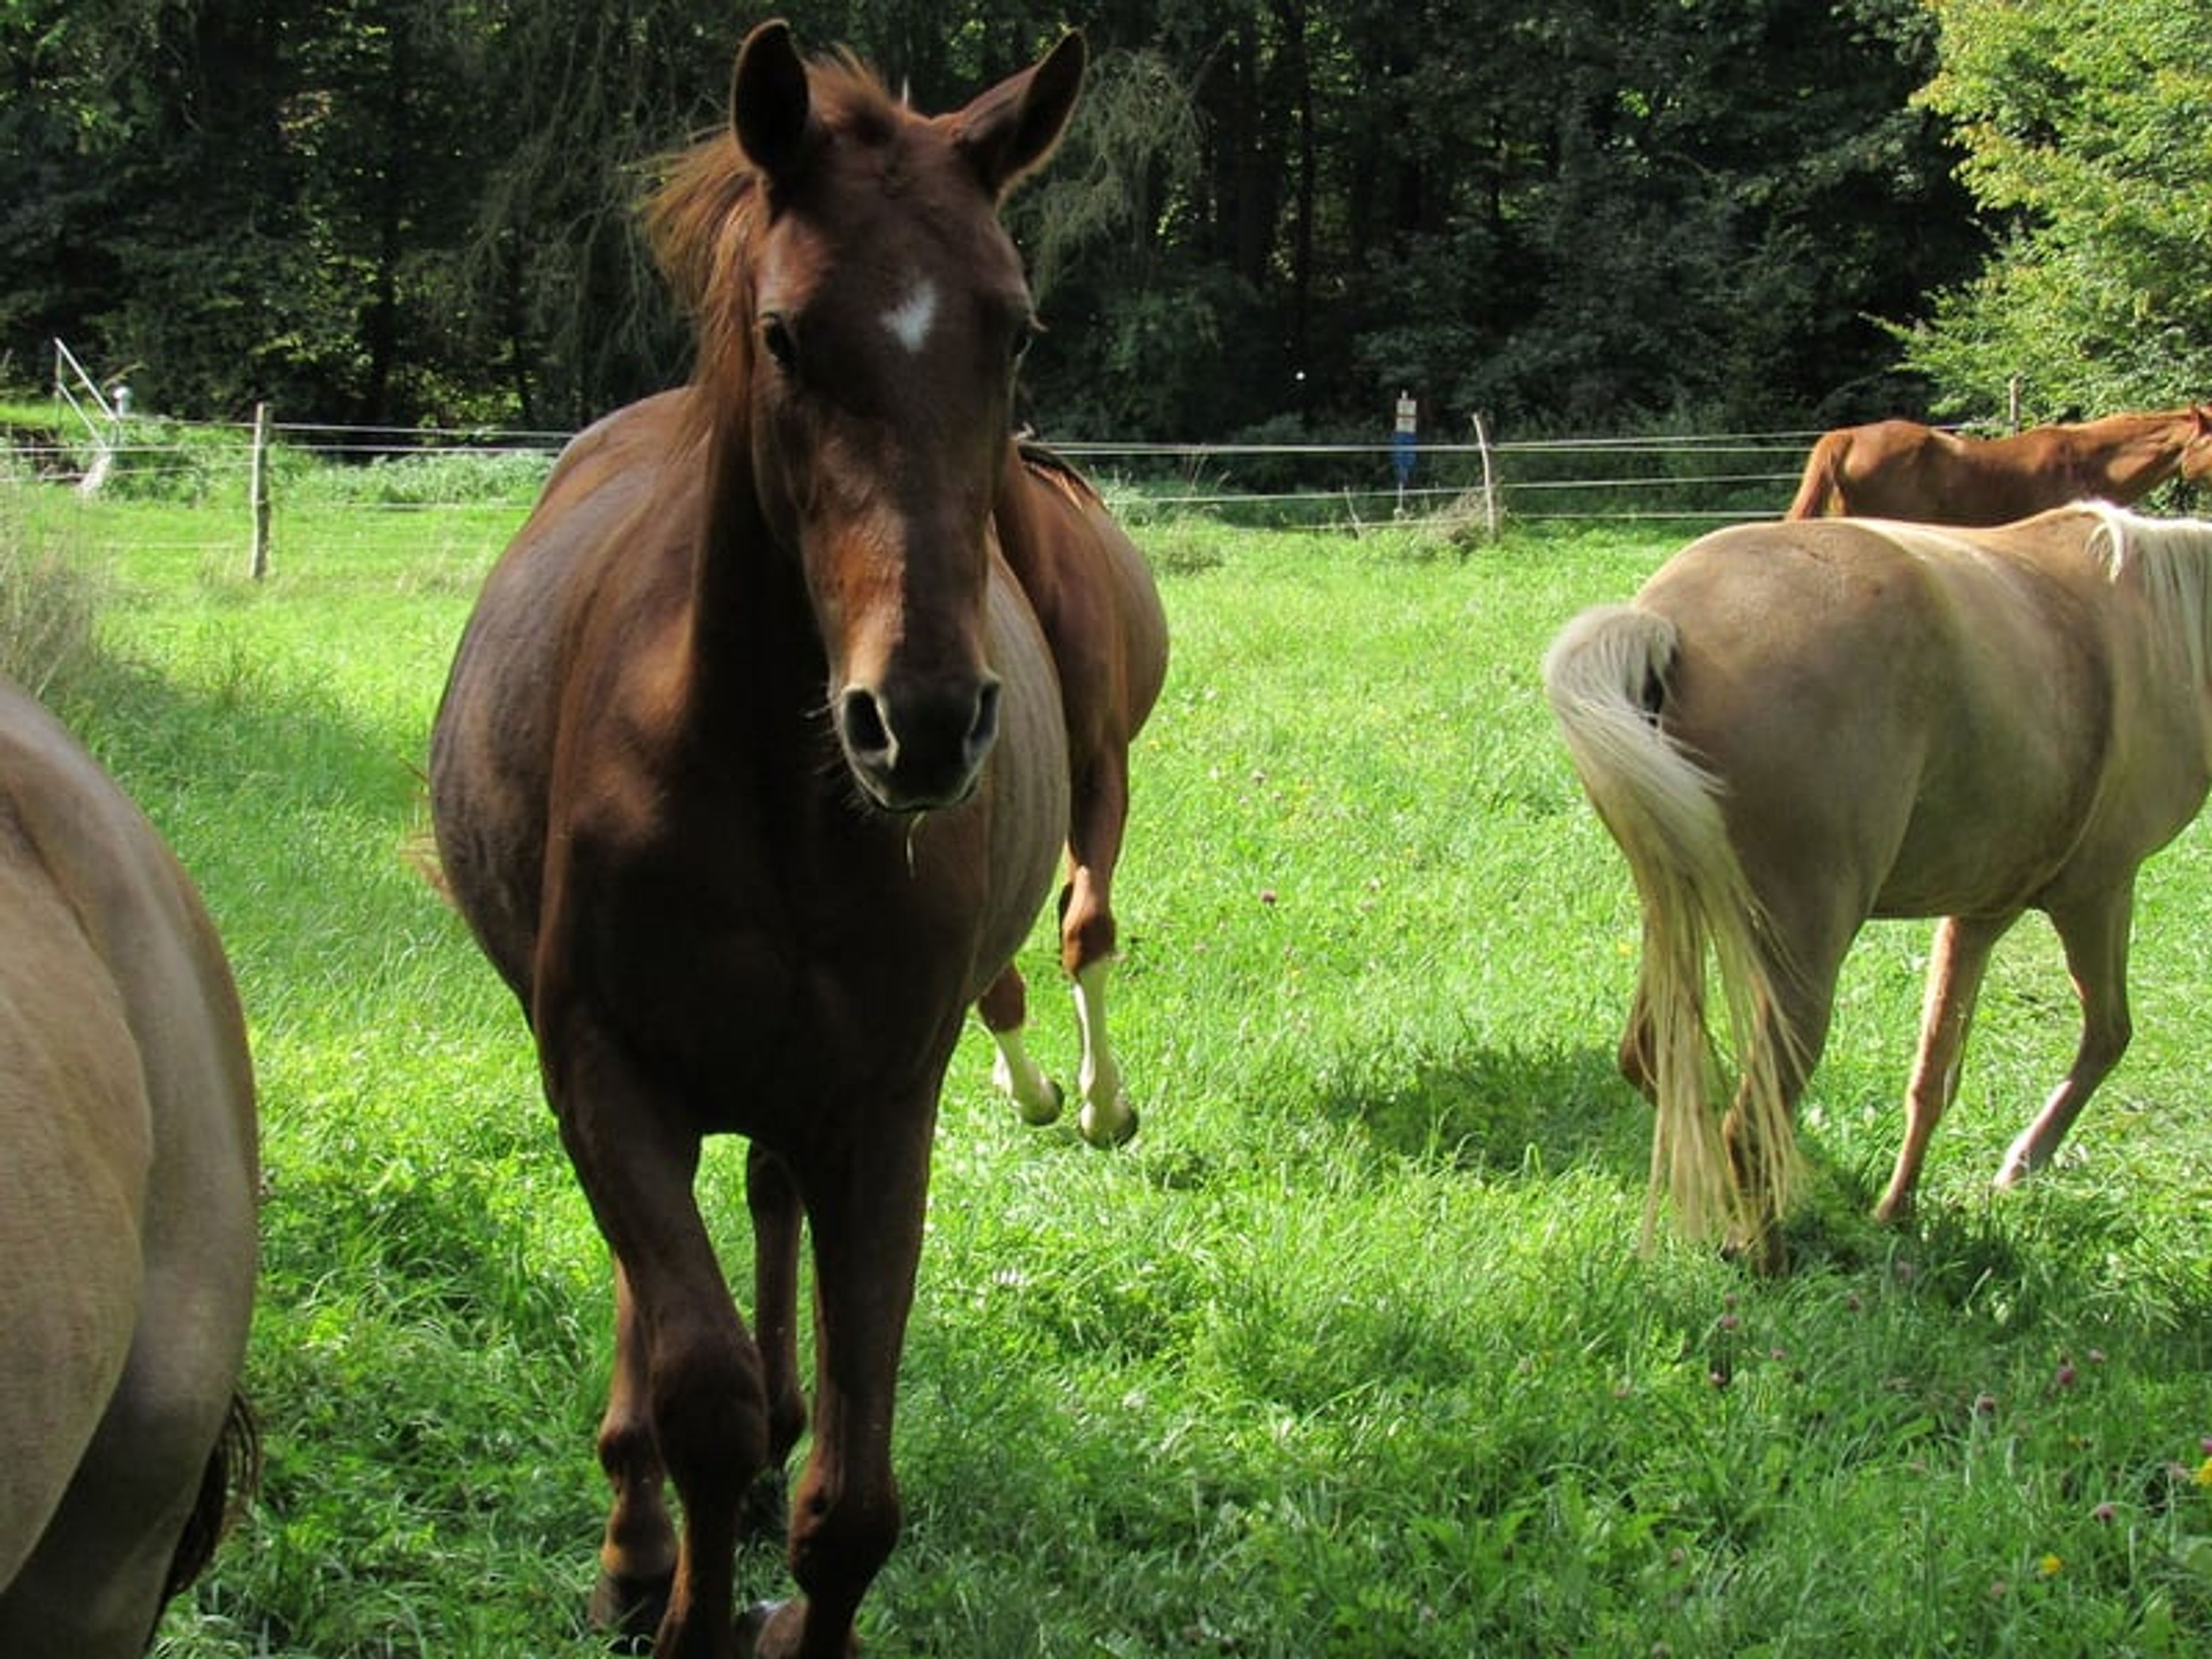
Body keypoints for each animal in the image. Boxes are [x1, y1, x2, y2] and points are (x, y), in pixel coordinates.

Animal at [427, 23, 1082, 1657]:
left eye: (1014, 329)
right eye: (783, 336)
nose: (920, 720)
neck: (772, 797)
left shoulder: (888, 1102)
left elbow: (853, 1490)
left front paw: (791, 1591)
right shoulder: (601, 1066)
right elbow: (698, 1393)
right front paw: (681, 1601)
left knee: (772, 1213)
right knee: (657, 1318)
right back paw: (632, 1547)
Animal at [1542, 504, 2212, 1272]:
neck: (2160, 622)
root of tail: (1666, 629)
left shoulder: (1982, 912)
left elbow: (1936, 1072)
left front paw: (1899, 1208)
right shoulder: (2100, 891)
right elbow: (2108, 1033)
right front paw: (2019, 1166)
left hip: (1677, 915)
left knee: (1656, 1064)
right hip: (1802, 956)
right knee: (1751, 1119)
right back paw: (1770, 1259)